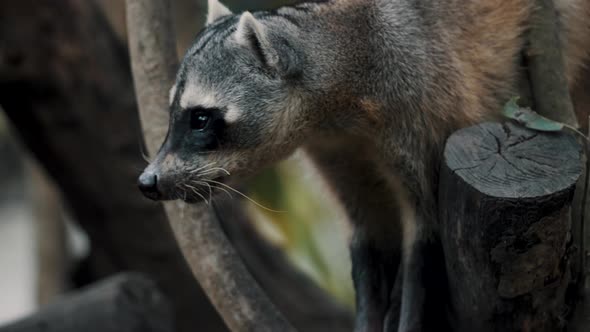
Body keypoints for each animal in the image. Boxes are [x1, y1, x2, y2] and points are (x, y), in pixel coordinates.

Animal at [140, 1, 590, 330]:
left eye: (200, 118)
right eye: (173, 114)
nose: (148, 181)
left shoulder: (423, 107)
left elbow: (423, 238)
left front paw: (406, 312)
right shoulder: (336, 151)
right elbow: (370, 239)